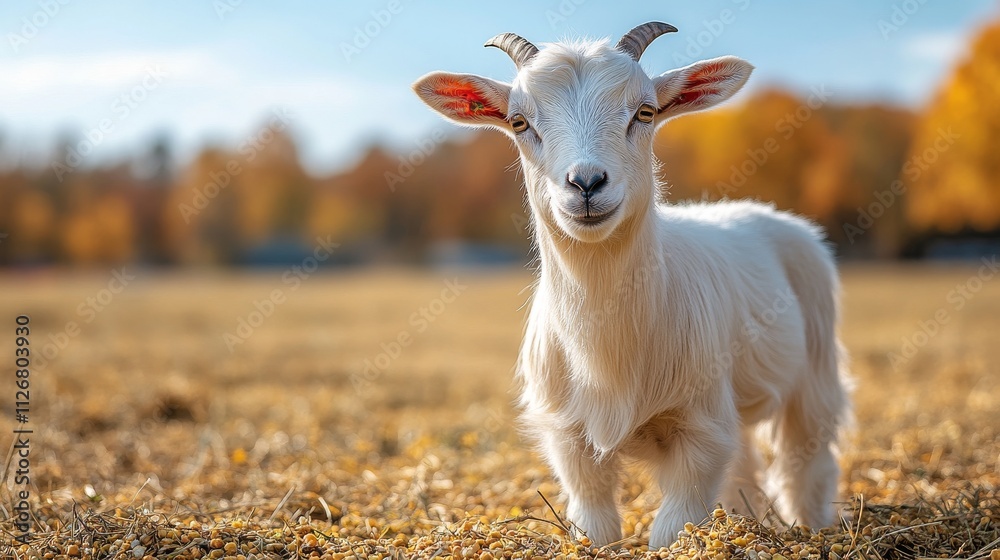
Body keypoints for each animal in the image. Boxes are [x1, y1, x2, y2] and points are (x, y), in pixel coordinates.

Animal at [413, 22, 851, 549]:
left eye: (645, 111)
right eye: (519, 122)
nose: (586, 183)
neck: (608, 347)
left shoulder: (698, 424)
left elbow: (673, 526)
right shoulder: (568, 434)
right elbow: (594, 520)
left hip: (815, 368)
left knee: (808, 457)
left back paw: (812, 525)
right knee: (744, 463)